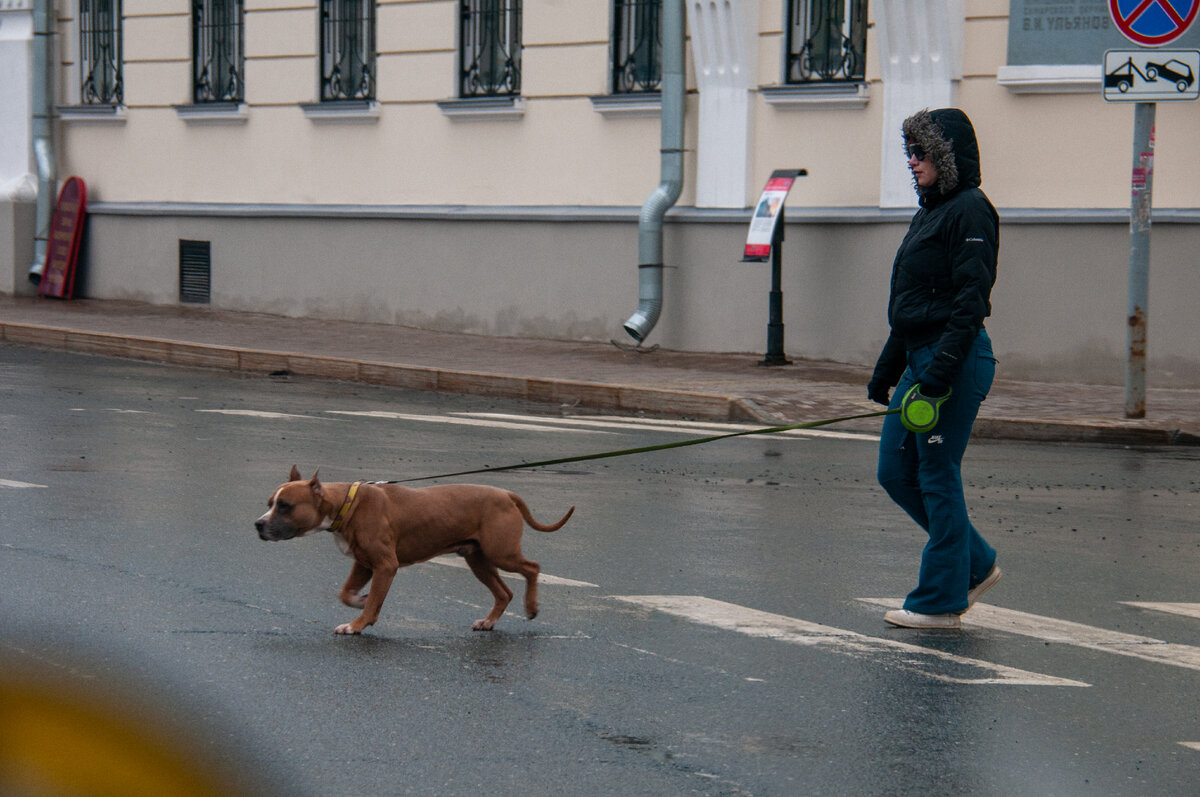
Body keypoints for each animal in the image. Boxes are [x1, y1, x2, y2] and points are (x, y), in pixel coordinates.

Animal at [255, 468, 573, 633]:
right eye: (270, 503)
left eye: (285, 506)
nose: (258, 524)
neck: (346, 503)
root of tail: (506, 493)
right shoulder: (364, 564)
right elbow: (345, 593)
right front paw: (360, 601)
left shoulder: (385, 566)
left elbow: (371, 602)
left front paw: (358, 624)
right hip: (479, 560)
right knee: (504, 592)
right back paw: (489, 621)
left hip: (501, 553)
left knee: (532, 568)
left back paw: (531, 607)